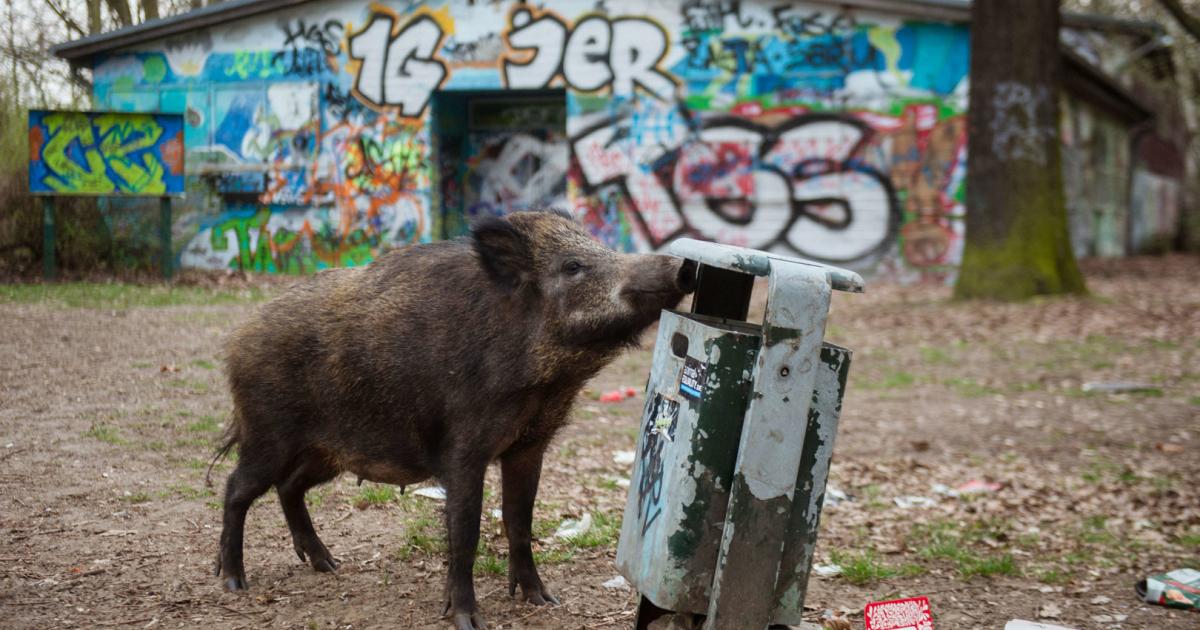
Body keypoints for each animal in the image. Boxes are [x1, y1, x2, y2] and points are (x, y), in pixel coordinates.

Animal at [210, 210, 696, 630]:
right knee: (237, 488)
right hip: (269, 433)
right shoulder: (462, 448)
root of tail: (237, 338)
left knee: (289, 487)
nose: (682, 266)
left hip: (327, 452)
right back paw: (233, 582)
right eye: (573, 266)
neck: (544, 382)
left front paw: (543, 600)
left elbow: (520, 521)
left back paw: (328, 565)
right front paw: (468, 620)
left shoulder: (529, 445)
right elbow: (465, 531)